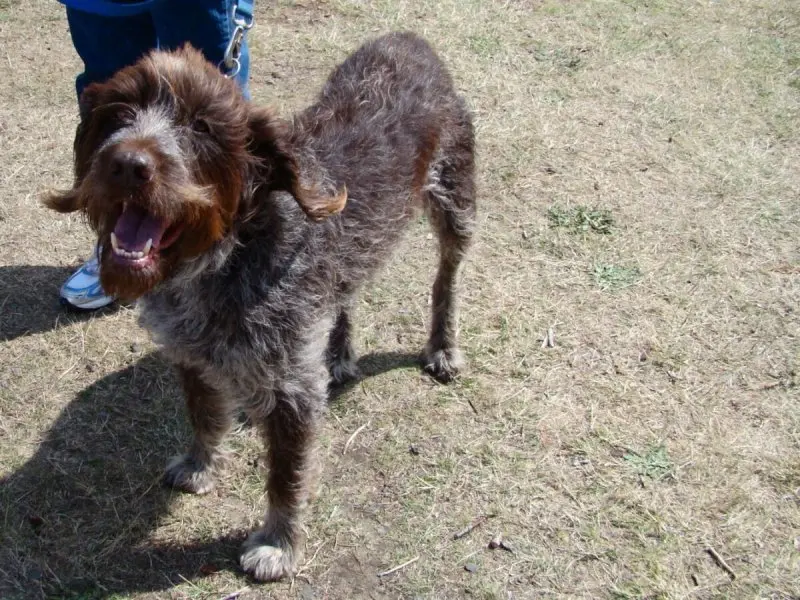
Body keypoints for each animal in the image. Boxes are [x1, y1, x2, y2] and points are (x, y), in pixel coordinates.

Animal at [47, 31, 476, 580]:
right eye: (119, 113)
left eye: (202, 127)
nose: (127, 164)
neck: (223, 257)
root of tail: (409, 40)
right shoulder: (190, 352)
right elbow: (204, 416)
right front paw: (200, 465)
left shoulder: (292, 390)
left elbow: (286, 476)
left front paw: (277, 543)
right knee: (346, 289)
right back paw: (338, 354)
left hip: (454, 199)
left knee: (446, 278)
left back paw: (442, 346)